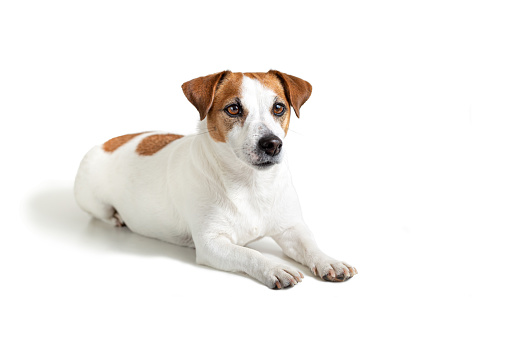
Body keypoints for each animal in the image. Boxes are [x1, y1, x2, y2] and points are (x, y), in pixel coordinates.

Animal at [74, 70, 358, 288]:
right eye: (233, 109)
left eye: (279, 108)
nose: (272, 144)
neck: (250, 183)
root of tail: (109, 142)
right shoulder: (211, 244)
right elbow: (249, 252)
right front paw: (274, 267)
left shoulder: (291, 228)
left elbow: (310, 245)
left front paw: (329, 261)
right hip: (94, 201)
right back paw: (117, 218)